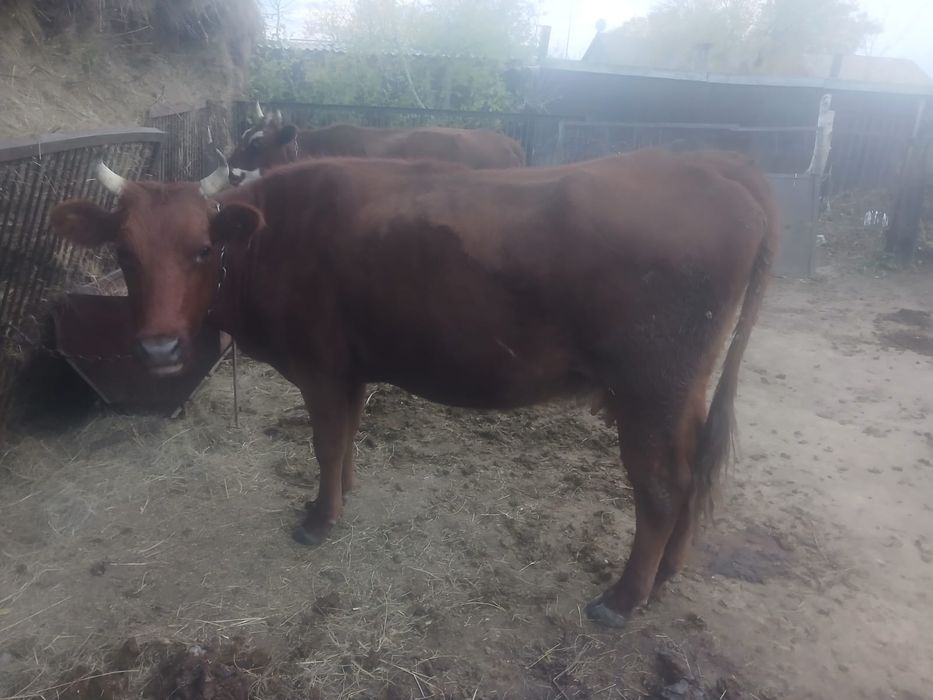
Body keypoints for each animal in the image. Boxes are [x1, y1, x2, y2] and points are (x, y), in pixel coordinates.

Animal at [51, 148, 777, 627]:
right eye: (123, 253)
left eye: (202, 249)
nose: (159, 348)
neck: (273, 234)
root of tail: (709, 165)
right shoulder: (349, 368)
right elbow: (346, 438)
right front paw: (341, 497)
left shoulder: (319, 365)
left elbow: (325, 441)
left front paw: (318, 520)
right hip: (682, 392)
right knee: (692, 472)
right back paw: (666, 575)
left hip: (651, 389)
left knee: (661, 487)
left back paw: (621, 601)